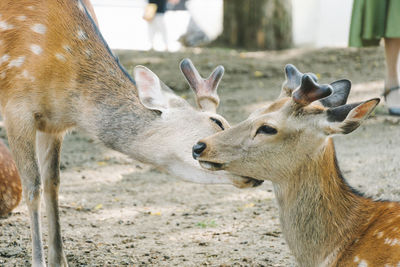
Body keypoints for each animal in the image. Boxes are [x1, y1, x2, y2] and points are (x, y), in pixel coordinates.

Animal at [0, 0, 262, 267]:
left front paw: (59, 260)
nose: (256, 171)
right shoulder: (16, 108)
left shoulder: (54, 125)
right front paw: (38, 261)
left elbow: (53, 183)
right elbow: (33, 188)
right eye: (217, 122)